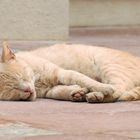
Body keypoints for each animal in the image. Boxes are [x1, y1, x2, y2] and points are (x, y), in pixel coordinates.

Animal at [1, 41, 140, 103]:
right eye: (13, 89)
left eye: (22, 77)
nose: (28, 90)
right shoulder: (49, 91)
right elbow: (59, 92)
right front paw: (77, 93)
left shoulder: (61, 73)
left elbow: (85, 79)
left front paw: (102, 87)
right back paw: (94, 96)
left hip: (108, 66)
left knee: (119, 89)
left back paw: (98, 94)